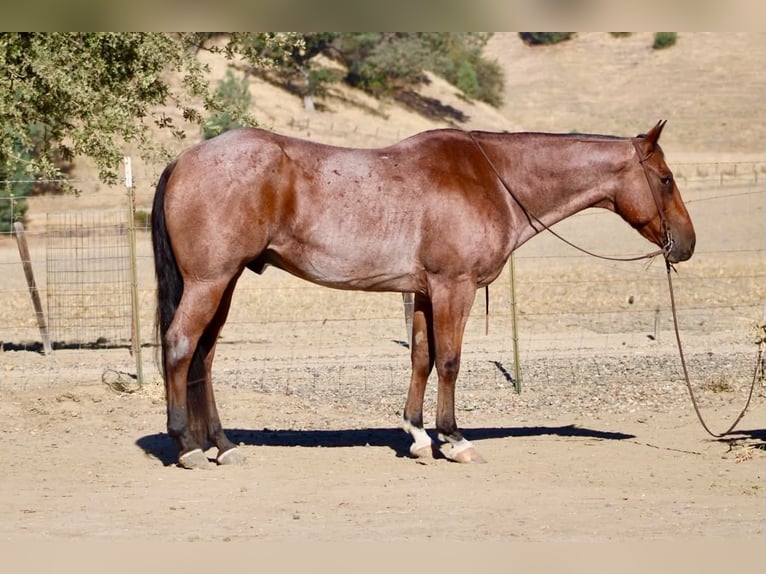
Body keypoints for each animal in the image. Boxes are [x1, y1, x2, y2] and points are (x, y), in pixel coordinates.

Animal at [151, 120, 695, 468]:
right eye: (666, 179)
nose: (687, 244)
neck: (491, 177)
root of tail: (183, 159)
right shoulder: (454, 287)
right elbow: (450, 360)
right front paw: (453, 439)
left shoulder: (425, 292)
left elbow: (421, 358)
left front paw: (416, 435)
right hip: (210, 281)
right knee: (180, 346)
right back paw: (188, 446)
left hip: (226, 283)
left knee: (203, 356)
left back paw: (222, 445)